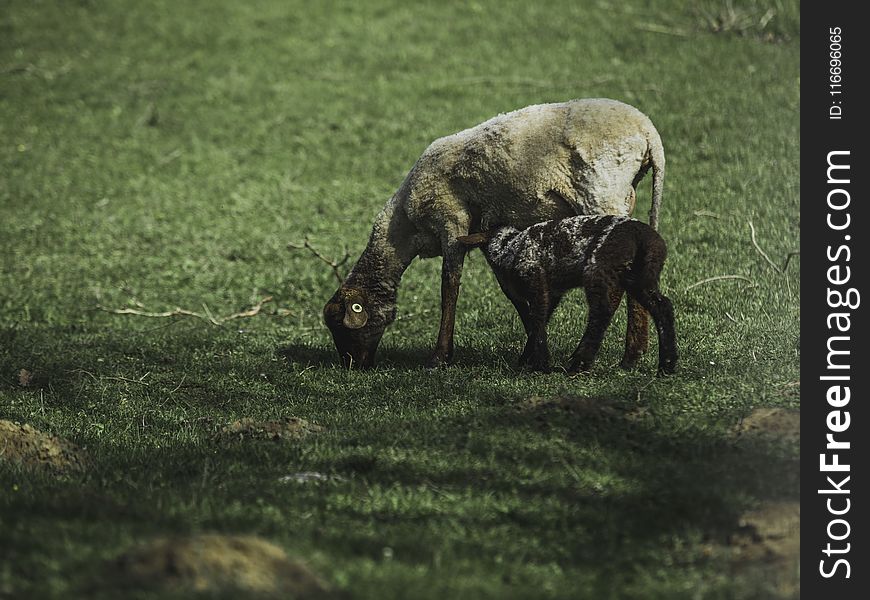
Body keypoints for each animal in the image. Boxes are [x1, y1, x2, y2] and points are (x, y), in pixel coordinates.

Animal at [324, 98, 664, 368]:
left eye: (341, 327)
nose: (353, 366)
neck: (405, 228)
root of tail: (650, 134)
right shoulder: (485, 232)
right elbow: (510, 290)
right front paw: (532, 349)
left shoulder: (452, 222)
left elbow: (449, 289)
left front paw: (440, 357)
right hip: (625, 195)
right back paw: (634, 352)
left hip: (603, 191)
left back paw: (630, 356)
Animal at [460, 216, 676, 376]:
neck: (509, 246)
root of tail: (642, 236)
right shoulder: (553, 291)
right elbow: (538, 322)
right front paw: (526, 359)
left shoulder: (535, 278)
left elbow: (537, 320)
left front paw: (541, 365)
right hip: (641, 274)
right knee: (662, 306)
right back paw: (667, 365)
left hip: (599, 269)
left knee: (601, 313)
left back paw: (579, 364)